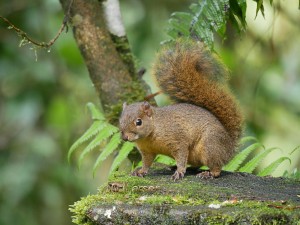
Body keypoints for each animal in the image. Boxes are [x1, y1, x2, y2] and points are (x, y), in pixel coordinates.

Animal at [118, 37, 243, 180]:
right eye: (120, 121)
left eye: (139, 122)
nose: (125, 137)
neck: (152, 131)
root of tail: (229, 146)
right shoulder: (147, 151)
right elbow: (147, 163)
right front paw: (140, 171)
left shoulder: (178, 140)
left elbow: (181, 156)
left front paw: (179, 172)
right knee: (197, 164)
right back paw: (178, 167)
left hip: (210, 146)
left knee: (216, 167)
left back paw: (208, 173)